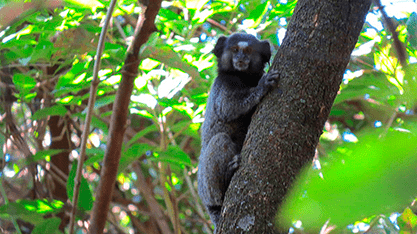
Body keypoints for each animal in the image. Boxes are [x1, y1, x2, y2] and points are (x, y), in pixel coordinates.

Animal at [197, 33, 278, 229]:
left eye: (248, 51)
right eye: (234, 50)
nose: (240, 58)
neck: (244, 78)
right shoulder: (223, 84)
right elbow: (228, 107)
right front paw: (262, 87)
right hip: (206, 187)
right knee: (220, 139)